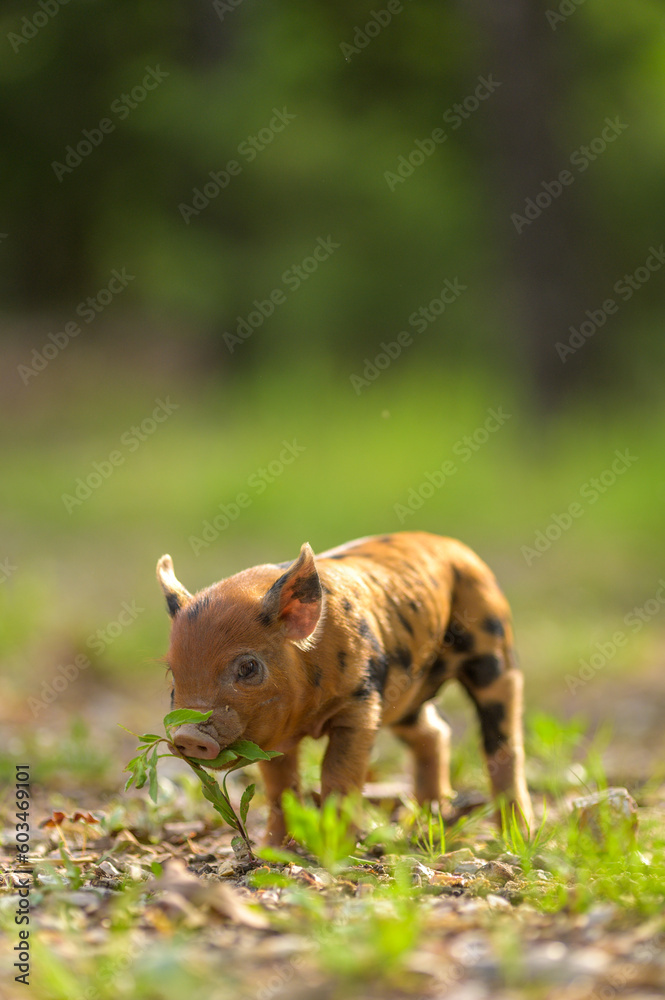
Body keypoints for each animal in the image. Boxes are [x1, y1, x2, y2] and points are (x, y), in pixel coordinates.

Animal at [157, 531, 533, 844]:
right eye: (173, 672)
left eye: (248, 667)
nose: (188, 735)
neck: (307, 718)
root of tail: (452, 545)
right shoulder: (273, 738)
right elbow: (280, 789)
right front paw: (272, 850)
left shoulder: (361, 703)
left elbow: (337, 775)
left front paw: (335, 847)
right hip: (406, 698)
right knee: (435, 732)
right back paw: (428, 822)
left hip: (493, 649)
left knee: (503, 744)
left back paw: (517, 837)